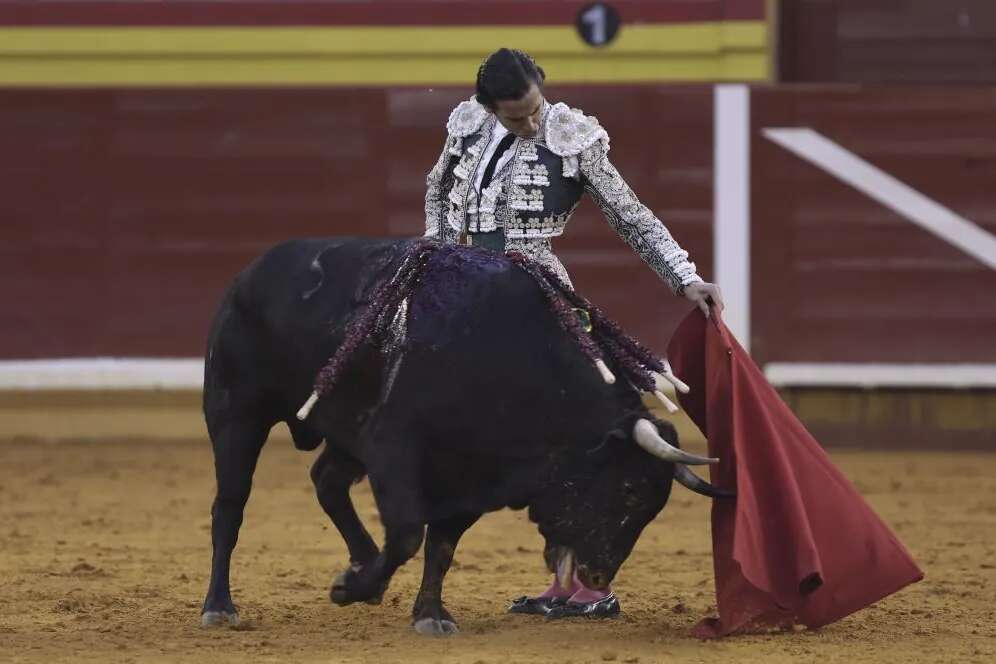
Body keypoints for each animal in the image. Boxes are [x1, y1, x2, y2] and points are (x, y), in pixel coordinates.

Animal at [200, 237, 732, 632]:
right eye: (628, 489)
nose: (598, 574)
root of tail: (250, 273)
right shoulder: (395, 451)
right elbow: (408, 535)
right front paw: (350, 590)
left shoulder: (473, 474)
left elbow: (443, 546)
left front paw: (428, 614)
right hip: (236, 414)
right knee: (230, 507)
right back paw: (220, 607)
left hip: (345, 432)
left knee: (326, 481)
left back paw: (361, 561)